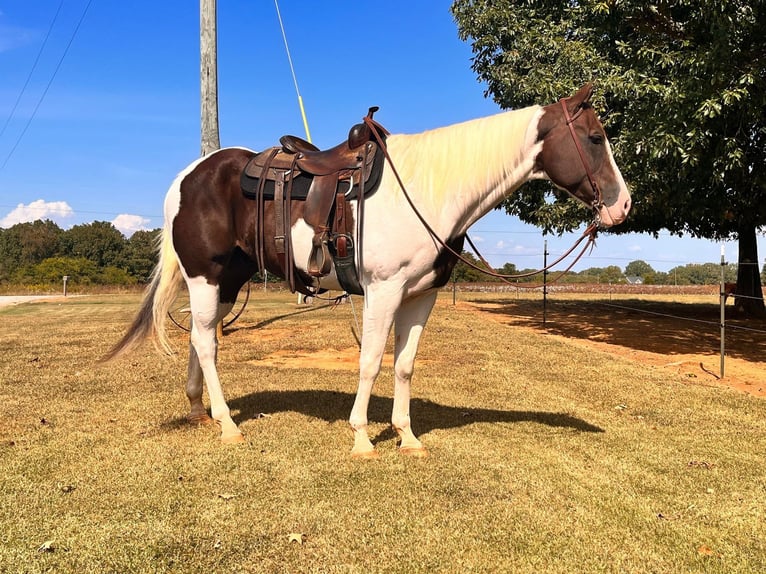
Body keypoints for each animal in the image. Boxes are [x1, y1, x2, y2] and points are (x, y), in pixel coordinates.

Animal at [103, 84, 632, 460]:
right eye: (595, 138)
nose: (623, 206)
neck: (429, 190)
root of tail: (187, 177)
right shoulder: (383, 291)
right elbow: (371, 361)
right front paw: (361, 437)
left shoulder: (421, 296)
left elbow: (404, 364)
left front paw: (407, 436)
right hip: (205, 276)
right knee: (206, 342)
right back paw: (228, 425)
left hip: (228, 280)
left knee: (201, 336)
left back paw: (202, 410)